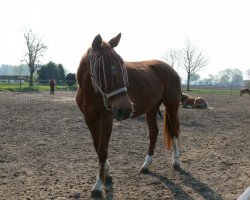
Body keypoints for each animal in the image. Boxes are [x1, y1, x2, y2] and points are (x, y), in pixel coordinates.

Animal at [75, 33, 181, 197]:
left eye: (121, 66)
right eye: (101, 70)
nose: (125, 109)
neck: (91, 93)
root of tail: (170, 68)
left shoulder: (106, 119)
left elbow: (103, 150)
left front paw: (98, 186)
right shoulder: (90, 120)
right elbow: (97, 147)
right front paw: (107, 174)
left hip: (172, 106)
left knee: (174, 131)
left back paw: (176, 162)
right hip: (152, 109)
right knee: (154, 133)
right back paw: (146, 165)